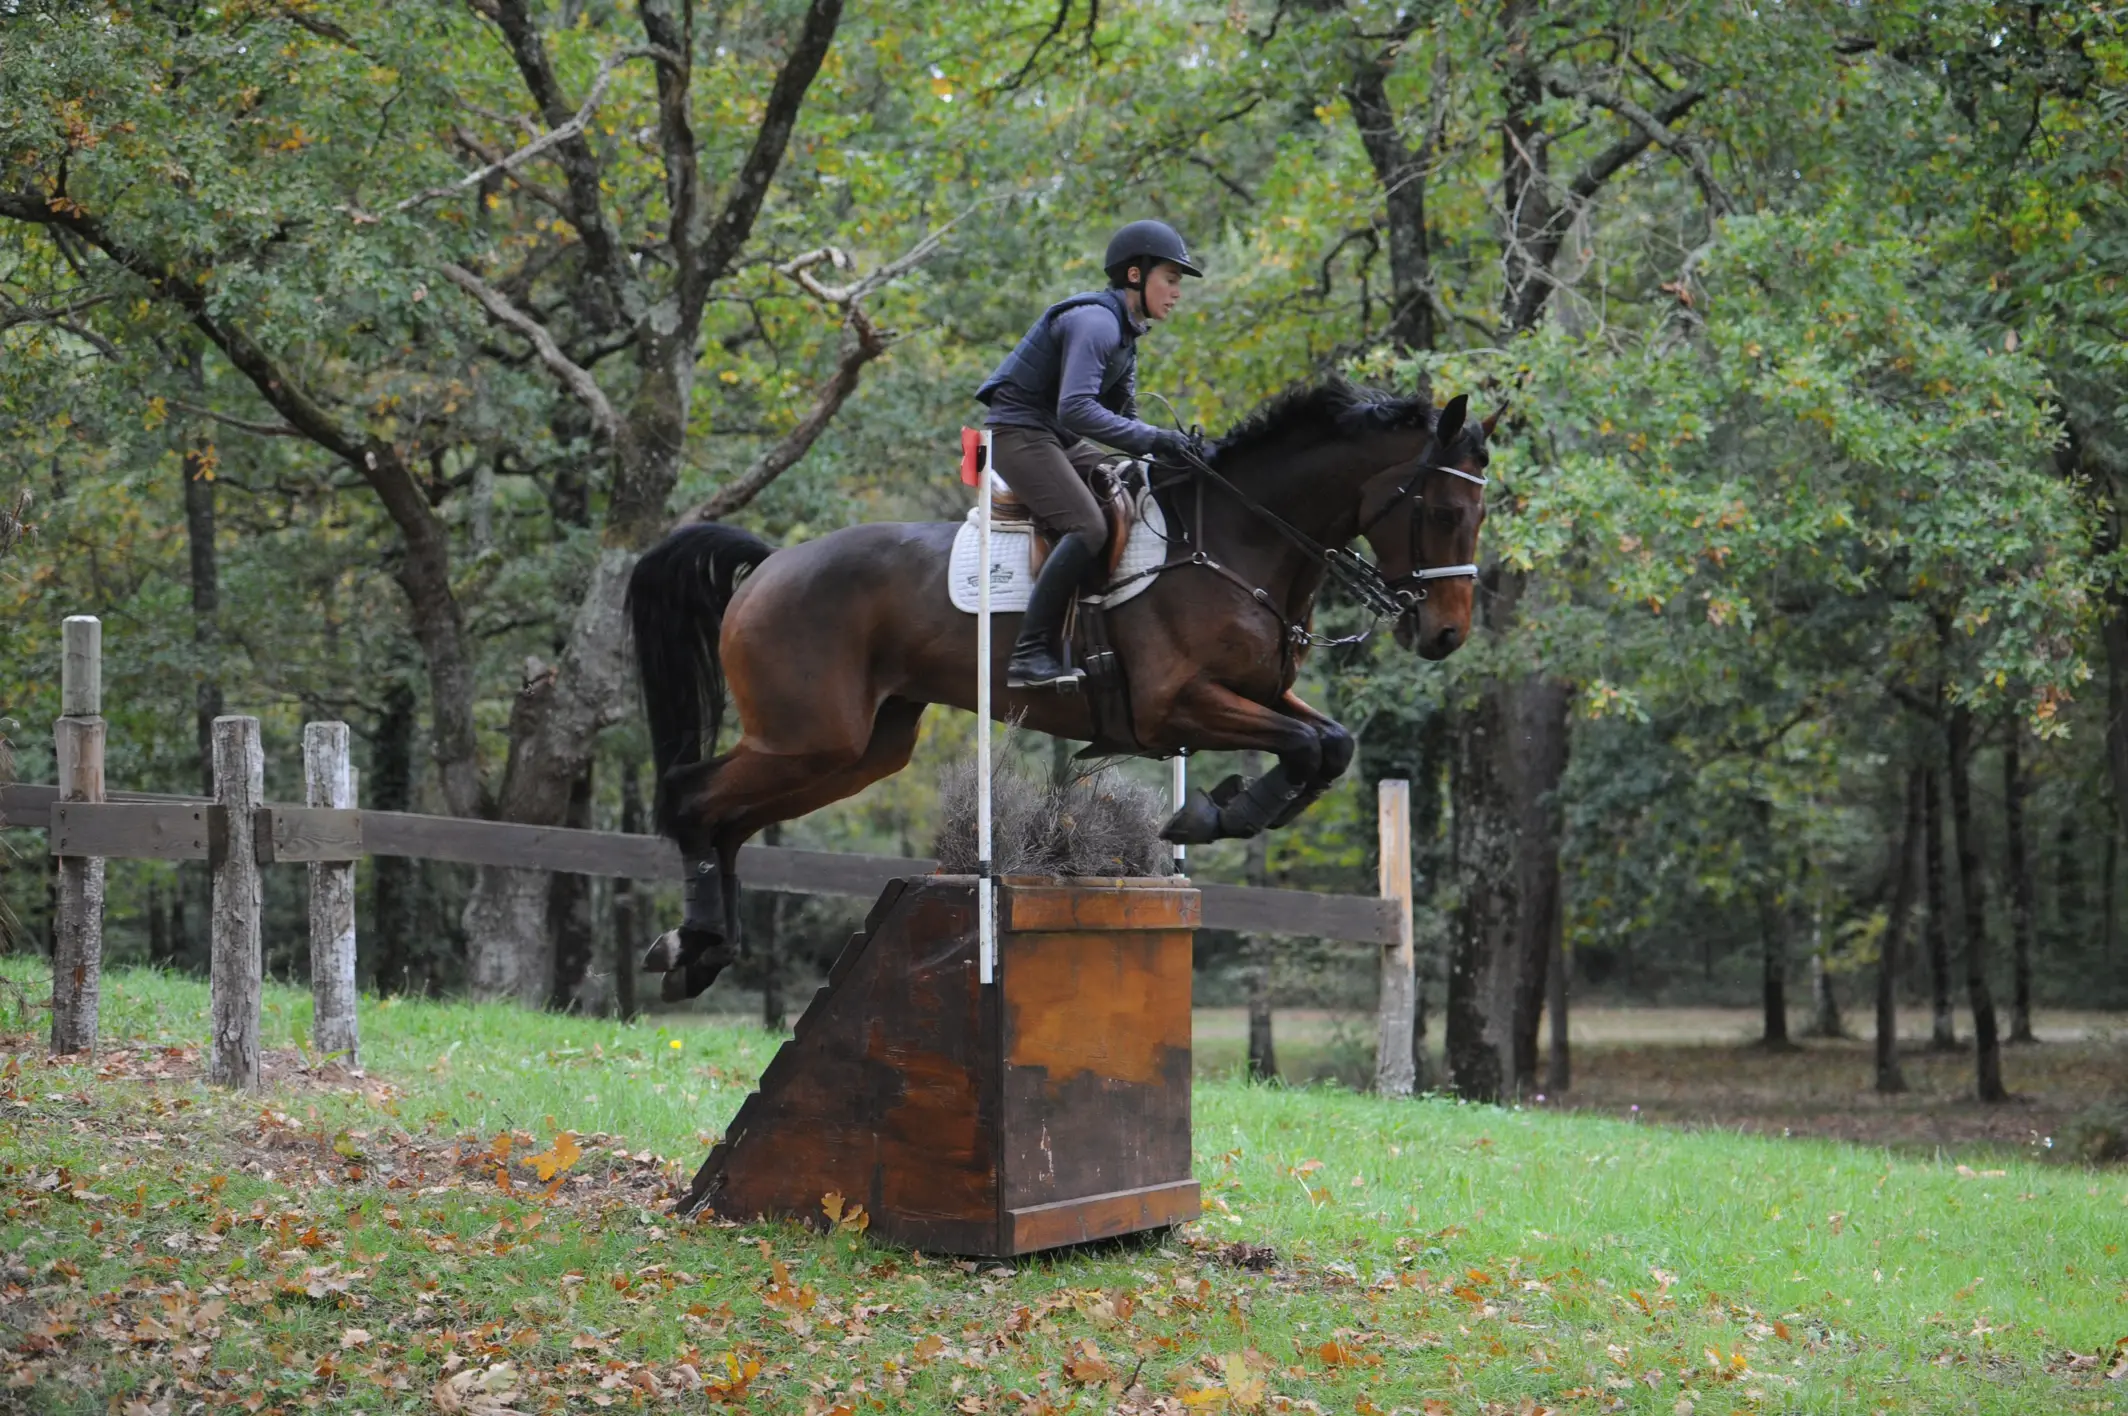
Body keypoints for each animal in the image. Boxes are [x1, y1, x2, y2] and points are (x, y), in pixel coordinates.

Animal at [629, 374, 1498, 992]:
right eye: (1444, 511)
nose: (1445, 634)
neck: (1238, 539)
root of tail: (771, 562)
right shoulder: (1173, 706)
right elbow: (1310, 747)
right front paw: (1220, 810)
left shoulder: (1256, 691)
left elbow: (1330, 743)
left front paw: (1223, 808)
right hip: (807, 737)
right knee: (692, 799)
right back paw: (694, 941)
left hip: (859, 750)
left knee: (729, 820)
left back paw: (701, 951)